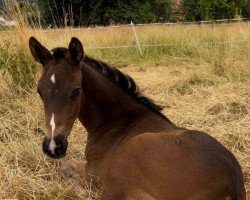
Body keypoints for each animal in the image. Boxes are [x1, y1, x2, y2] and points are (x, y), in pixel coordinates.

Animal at [28, 36, 245, 199]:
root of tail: (230, 182)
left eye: (76, 91)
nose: (53, 146)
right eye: (39, 92)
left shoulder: (93, 175)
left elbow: (66, 167)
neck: (117, 121)